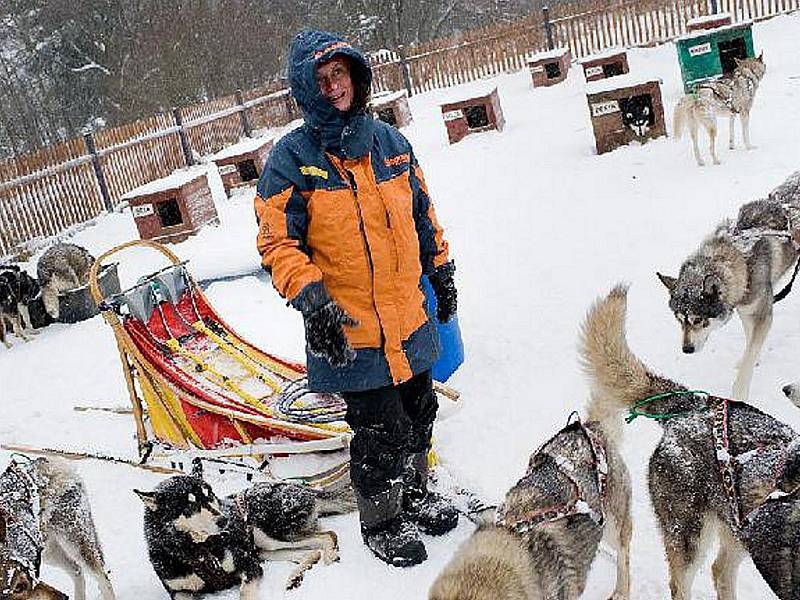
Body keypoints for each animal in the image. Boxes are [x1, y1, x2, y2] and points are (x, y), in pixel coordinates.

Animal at [134, 462, 354, 596]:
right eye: (189, 505)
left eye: (209, 495)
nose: (224, 520)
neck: (198, 551)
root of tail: (302, 488)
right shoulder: (179, 592)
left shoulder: (248, 565)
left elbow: (244, 593)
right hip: (262, 549)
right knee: (310, 552)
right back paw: (295, 577)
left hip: (265, 535)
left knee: (327, 536)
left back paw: (330, 557)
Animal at [656, 170, 800, 404]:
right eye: (679, 320)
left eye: (698, 320)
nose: (686, 349)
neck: (741, 258)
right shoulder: (746, 310)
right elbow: (750, 341)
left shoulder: (762, 313)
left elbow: (750, 353)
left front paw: (740, 392)